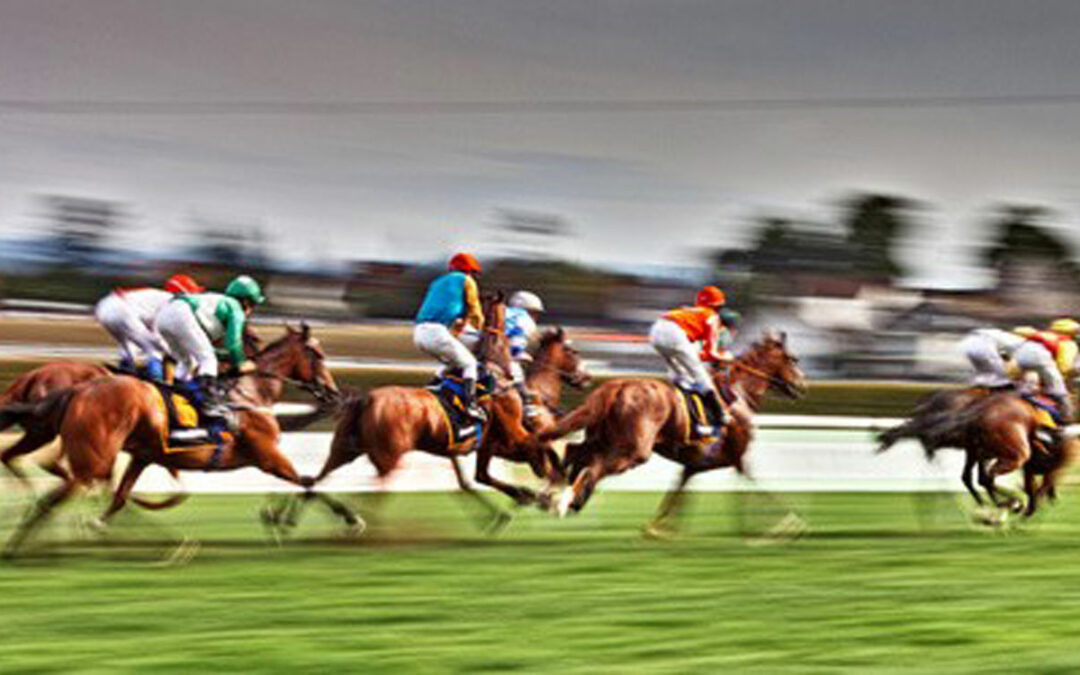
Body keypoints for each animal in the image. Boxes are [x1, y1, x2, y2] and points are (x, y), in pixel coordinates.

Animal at [1, 324, 336, 557]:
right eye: (318, 355)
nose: (333, 393)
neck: (249, 394)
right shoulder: (267, 457)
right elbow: (308, 483)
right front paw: (284, 520)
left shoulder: (145, 455)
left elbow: (124, 497)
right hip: (90, 455)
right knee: (57, 489)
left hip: (50, 437)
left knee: (26, 466)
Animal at [535, 332, 807, 531]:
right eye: (793, 359)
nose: (802, 385)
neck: (739, 393)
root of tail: (616, 386)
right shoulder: (738, 458)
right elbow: (756, 487)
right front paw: (787, 524)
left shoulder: (694, 464)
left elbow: (678, 493)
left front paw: (657, 529)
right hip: (634, 450)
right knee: (595, 468)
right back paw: (569, 500)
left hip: (602, 437)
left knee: (575, 452)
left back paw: (553, 494)